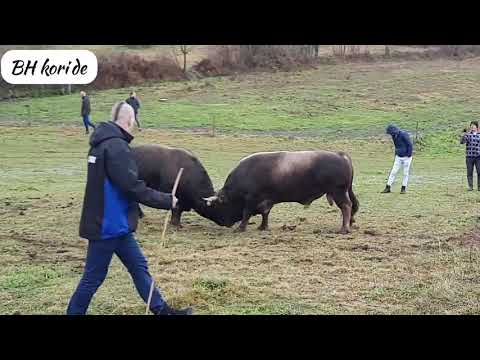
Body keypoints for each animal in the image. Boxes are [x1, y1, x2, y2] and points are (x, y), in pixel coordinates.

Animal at [204, 149, 358, 233]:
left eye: (219, 206)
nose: (225, 223)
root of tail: (340, 155)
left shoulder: (252, 199)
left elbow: (246, 213)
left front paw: (241, 228)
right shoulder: (267, 200)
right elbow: (265, 214)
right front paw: (263, 227)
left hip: (338, 192)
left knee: (346, 206)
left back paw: (344, 229)